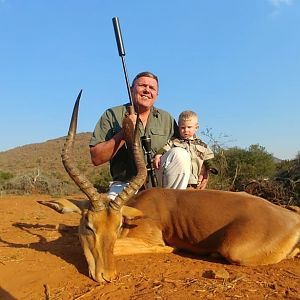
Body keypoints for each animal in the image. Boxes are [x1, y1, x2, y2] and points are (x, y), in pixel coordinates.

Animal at [38, 91, 298, 282]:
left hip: (236, 250)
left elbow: (128, 246)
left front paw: (172, 250)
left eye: (117, 226)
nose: (107, 276)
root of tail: (290, 219)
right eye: (89, 226)